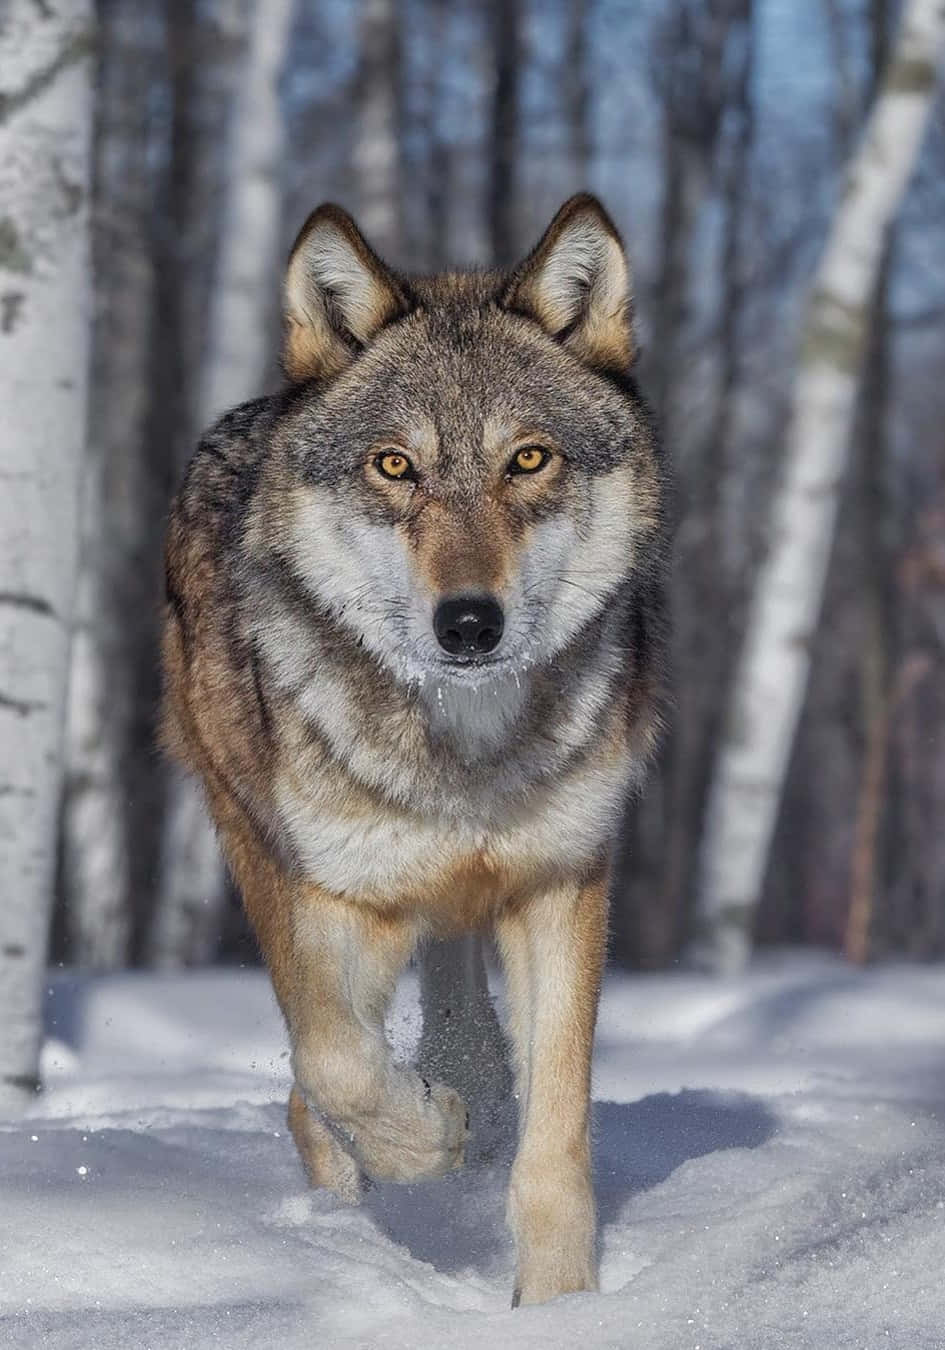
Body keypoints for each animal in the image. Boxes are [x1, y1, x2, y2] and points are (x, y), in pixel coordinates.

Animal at [162, 193, 668, 1306]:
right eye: (395, 465)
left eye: (529, 459)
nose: (469, 624)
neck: (465, 751)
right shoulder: (338, 898)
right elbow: (336, 1063)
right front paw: (424, 1137)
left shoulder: (560, 882)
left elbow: (555, 1138)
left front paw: (559, 1307)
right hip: (261, 849)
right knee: (307, 1082)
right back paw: (352, 1209)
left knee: (466, 1026)